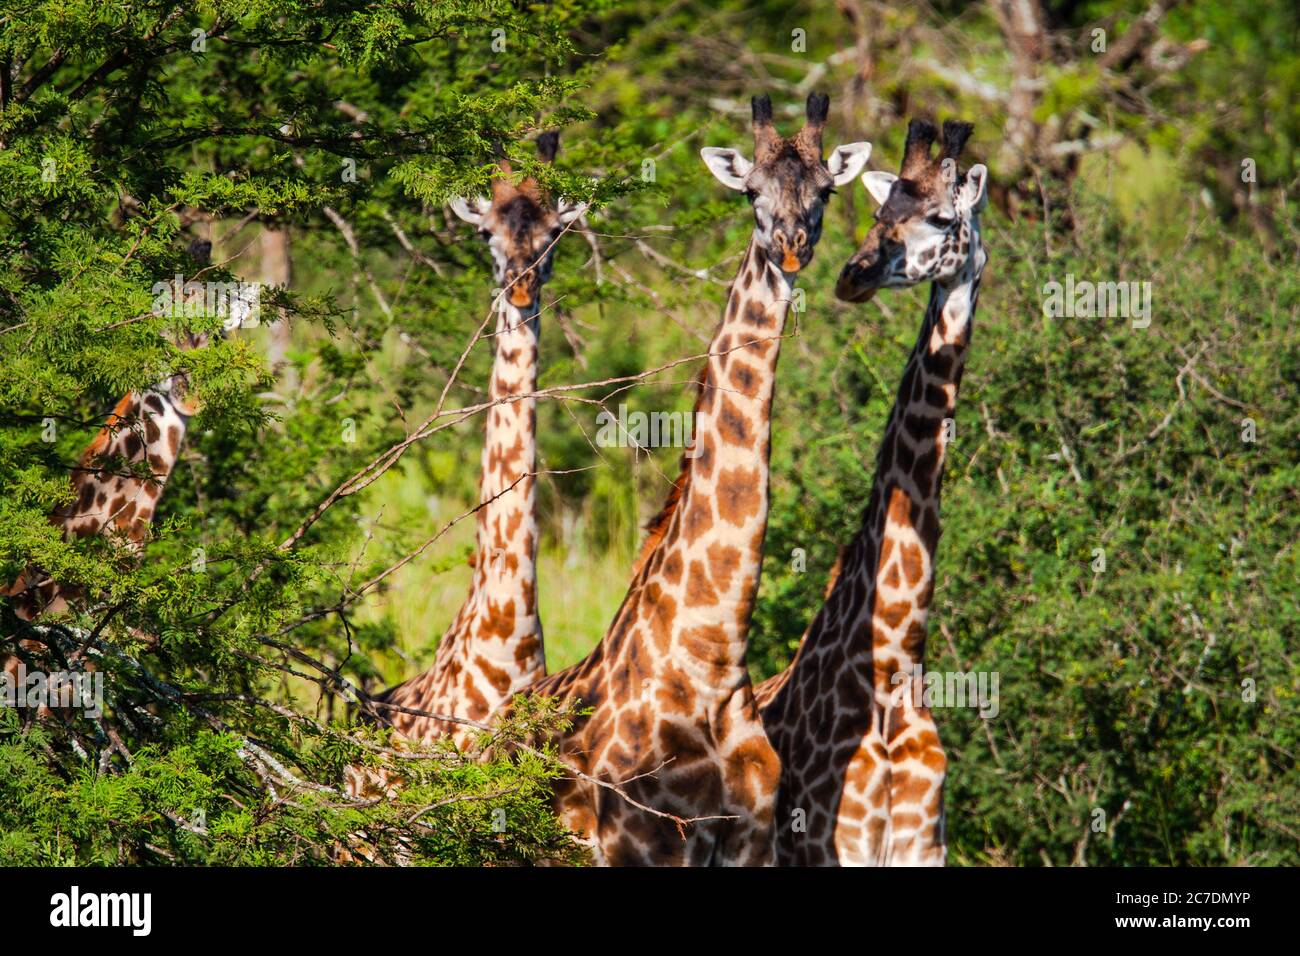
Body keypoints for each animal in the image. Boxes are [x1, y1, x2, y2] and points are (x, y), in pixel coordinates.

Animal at [499, 91, 873, 868]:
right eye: (752, 194)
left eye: (825, 191)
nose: (792, 245)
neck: (711, 655)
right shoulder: (635, 841)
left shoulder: (752, 836)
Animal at [754, 113, 982, 868]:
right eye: (881, 213)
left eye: (941, 217)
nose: (853, 276)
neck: (893, 663)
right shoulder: (833, 845)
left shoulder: (920, 847)